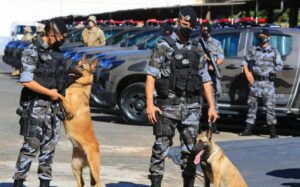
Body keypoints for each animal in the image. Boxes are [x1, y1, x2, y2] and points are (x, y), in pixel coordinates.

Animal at [61, 54, 102, 187]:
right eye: (76, 62)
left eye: (82, 67)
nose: (69, 66)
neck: (79, 86)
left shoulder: (70, 111)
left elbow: (61, 96)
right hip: (75, 165)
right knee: (81, 183)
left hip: (93, 167)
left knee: (100, 183)